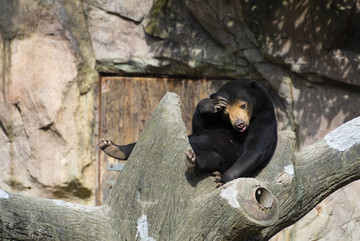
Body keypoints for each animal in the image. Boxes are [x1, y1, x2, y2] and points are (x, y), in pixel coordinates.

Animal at [99, 79, 278, 186]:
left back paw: (193, 160)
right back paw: (110, 146)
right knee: (134, 146)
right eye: (226, 113)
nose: (240, 125)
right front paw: (210, 104)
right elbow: (200, 126)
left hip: (217, 158)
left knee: (212, 159)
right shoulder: (215, 122)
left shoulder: (265, 121)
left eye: (243, 105)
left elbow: (255, 151)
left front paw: (223, 179)